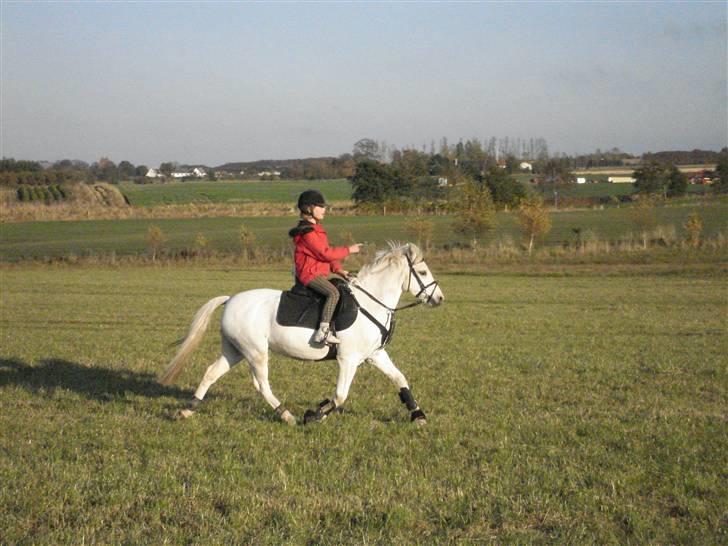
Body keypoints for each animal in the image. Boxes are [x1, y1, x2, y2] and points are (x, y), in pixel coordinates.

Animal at [158, 242, 444, 425]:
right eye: (422, 272)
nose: (439, 298)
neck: (370, 302)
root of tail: (230, 300)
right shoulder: (348, 359)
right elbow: (340, 395)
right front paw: (314, 414)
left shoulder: (375, 355)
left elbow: (400, 380)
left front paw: (418, 415)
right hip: (255, 351)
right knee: (261, 384)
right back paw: (287, 415)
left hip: (235, 350)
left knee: (211, 373)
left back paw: (187, 410)